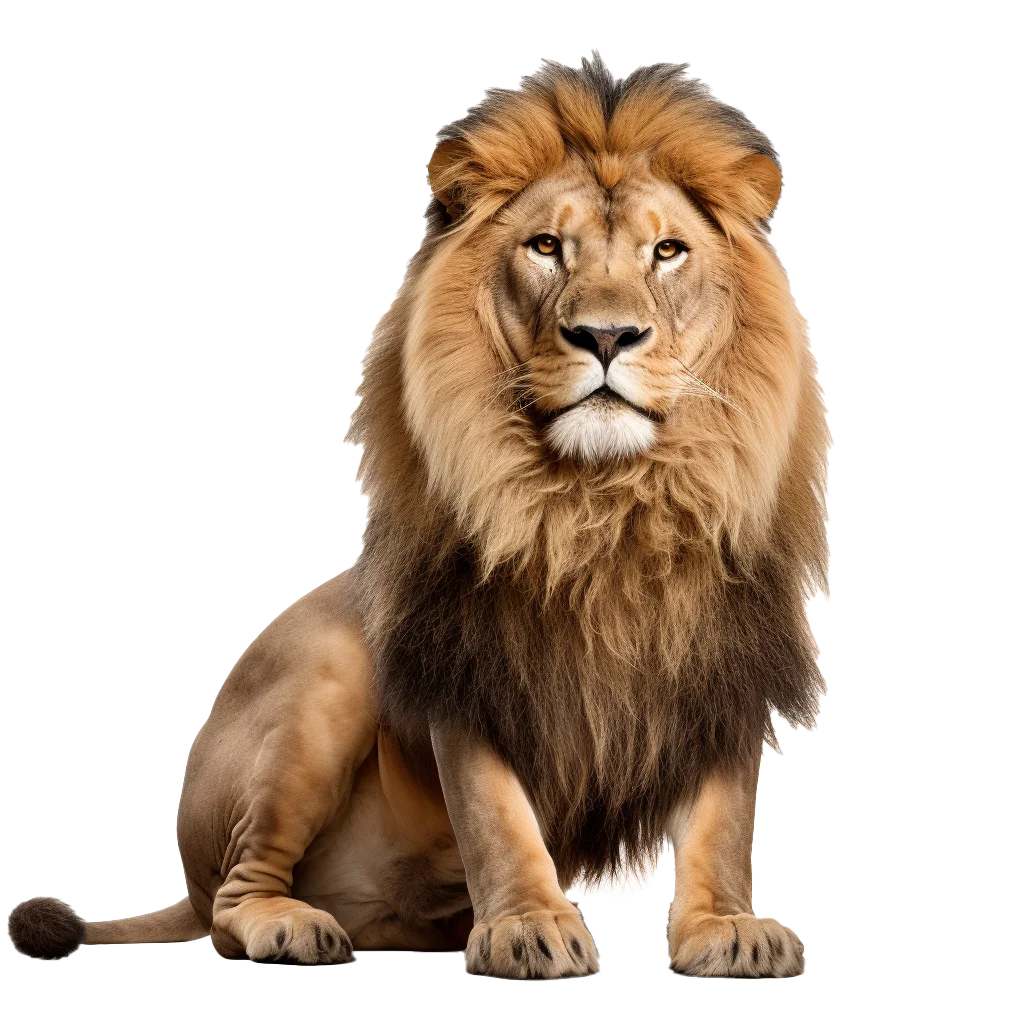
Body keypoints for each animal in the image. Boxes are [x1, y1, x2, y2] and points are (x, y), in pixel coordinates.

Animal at [9, 57, 828, 979]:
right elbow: (496, 816)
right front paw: (529, 925)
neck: (602, 506)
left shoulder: (729, 655)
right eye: (547, 247)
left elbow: (723, 820)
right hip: (328, 673)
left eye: (667, 251)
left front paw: (724, 927)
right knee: (230, 904)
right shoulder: (465, 660)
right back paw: (291, 927)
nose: (607, 335)